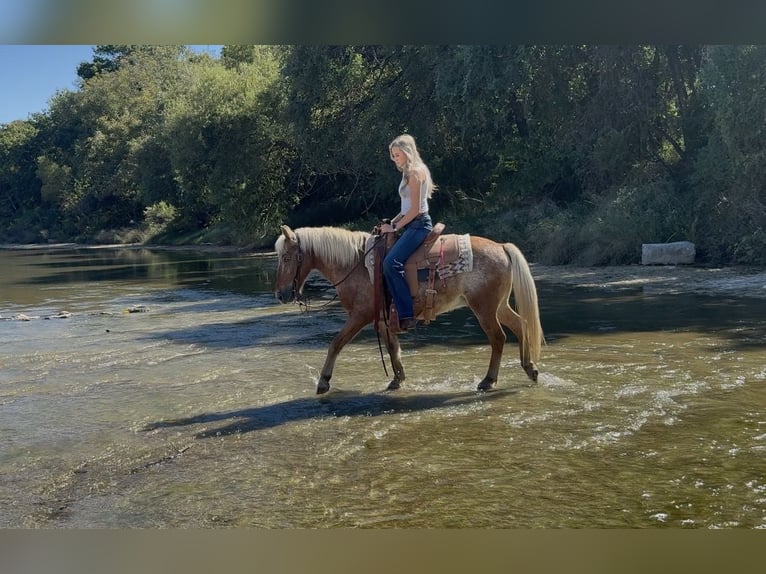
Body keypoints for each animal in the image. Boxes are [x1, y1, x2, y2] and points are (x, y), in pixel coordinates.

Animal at [274, 224, 544, 395]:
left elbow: (336, 343)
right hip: (499, 306)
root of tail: (501, 246)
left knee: (498, 338)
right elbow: (393, 348)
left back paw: (489, 380)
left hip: (484, 308)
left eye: (286, 258)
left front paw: (323, 382)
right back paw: (529, 368)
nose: (281, 294)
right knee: (521, 325)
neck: (356, 264)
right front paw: (397, 379)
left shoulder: (360, 315)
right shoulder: (382, 319)